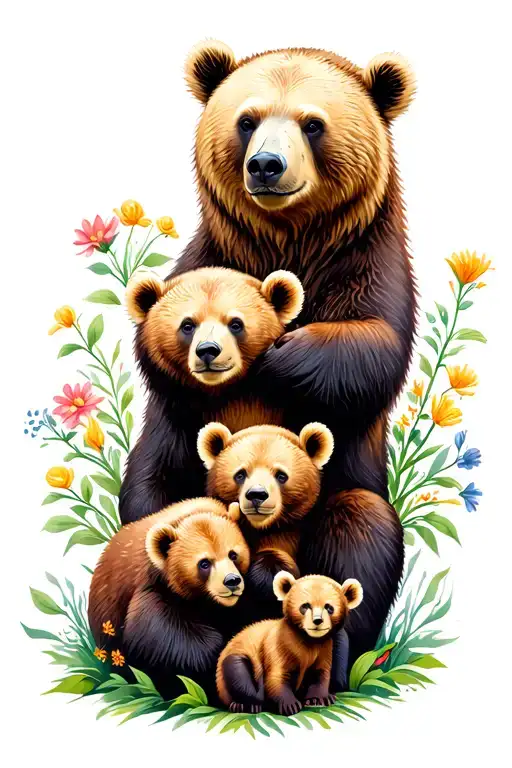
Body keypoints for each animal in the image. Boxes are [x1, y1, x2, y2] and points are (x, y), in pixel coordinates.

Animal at [119, 266, 304, 525]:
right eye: (188, 325)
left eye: (236, 324)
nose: (208, 350)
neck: (227, 395)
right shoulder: (174, 423)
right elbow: (148, 483)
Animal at [216, 571, 363, 715]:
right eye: (305, 606)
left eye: (329, 607)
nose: (317, 620)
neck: (308, 641)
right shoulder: (277, 645)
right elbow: (275, 678)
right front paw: (289, 704)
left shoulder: (325, 649)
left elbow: (321, 675)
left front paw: (319, 698)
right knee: (238, 671)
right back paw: (245, 705)